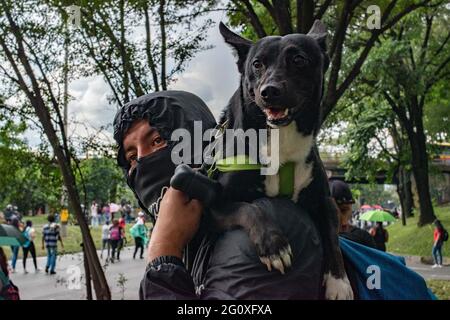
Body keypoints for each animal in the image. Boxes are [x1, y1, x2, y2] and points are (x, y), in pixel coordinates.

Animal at [214, 20, 356, 300]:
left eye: (298, 60)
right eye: (257, 64)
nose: (269, 92)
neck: (281, 139)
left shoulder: (325, 202)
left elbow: (332, 239)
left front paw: (339, 281)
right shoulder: (212, 205)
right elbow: (250, 208)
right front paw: (273, 245)